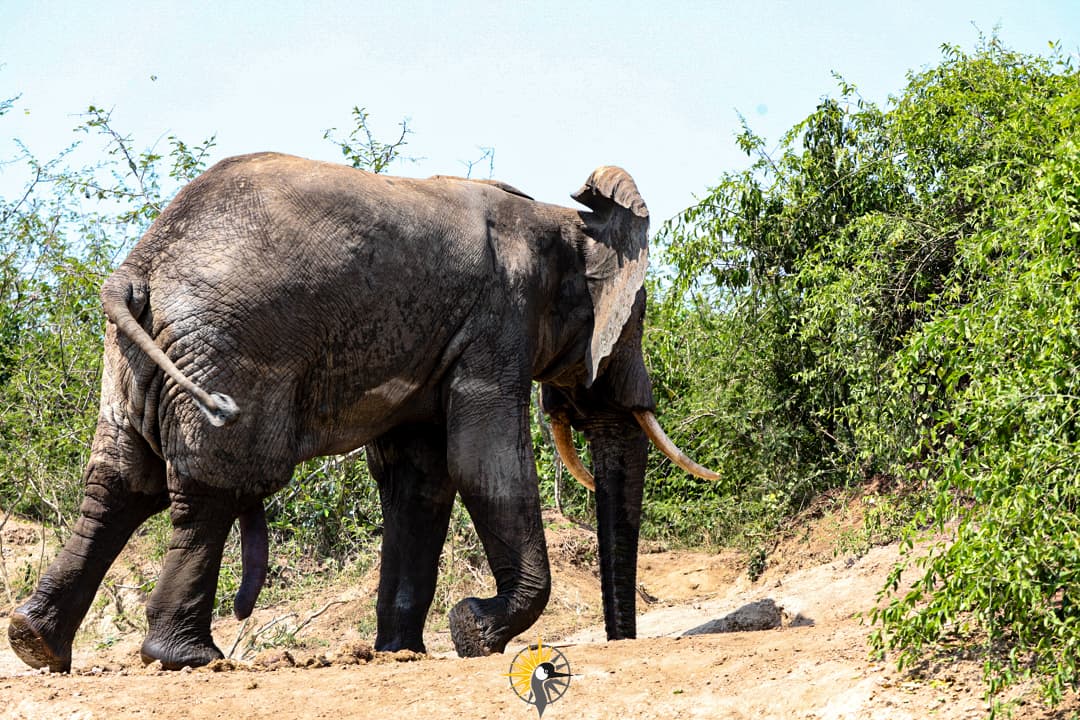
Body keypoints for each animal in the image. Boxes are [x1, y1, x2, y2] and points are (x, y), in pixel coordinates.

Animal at [7, 152, 716, 672]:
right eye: (633, 322)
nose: (622, 642)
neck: (559, 220)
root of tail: (138, 267)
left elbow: (421, 480)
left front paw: (403, 651)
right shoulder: (497, 322)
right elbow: (483, 462)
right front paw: (475, 632)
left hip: (134, 352)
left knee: (121, 481)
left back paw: (37, 644)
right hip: (226, 349)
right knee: (211, 486)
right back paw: (190, 658)